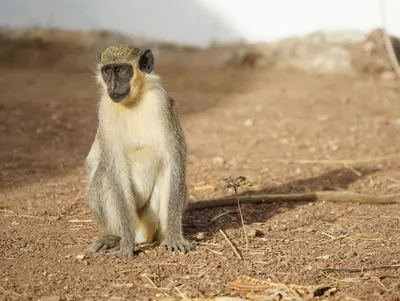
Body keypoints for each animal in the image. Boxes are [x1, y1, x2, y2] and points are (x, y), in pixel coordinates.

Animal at [85, 44, 191, 258]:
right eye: (107, 71)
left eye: (122, 70)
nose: (113, 86)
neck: (133, 101)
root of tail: (142, 232)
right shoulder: (105, 109)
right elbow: (115, 168)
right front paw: (126, 244)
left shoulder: (161, 102)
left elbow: (174, 160)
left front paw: (175, 237)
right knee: (104, 174)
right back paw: (115, 237)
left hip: (150, 217)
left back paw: (164, 237)